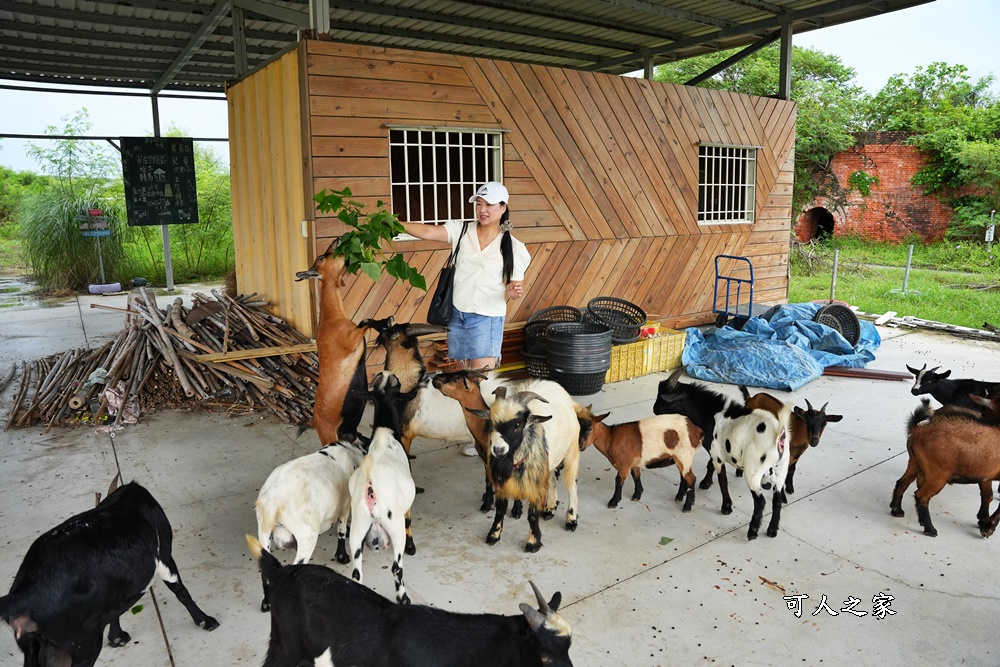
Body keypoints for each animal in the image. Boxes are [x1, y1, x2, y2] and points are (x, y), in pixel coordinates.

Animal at [0, 482, 218, 667]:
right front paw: (205, 620)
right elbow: (180, 590)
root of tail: (20, 600)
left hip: (41, 650)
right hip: (83, 646)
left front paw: (117, 637)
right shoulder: (164, 557)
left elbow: (116, 611)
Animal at [350, 376, 416, 604]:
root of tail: (371, 489)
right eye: (397, 387)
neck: (384, 434)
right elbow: (409, 519)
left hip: (357, 527)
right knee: (396, 567)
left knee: (356, 573)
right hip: (394, 526)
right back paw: (403, 597)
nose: (387, 374)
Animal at [896, 402, 1000, 536]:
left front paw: (983, 520)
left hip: (915, 463)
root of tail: (917, 430)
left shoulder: (985, 475)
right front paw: (987, 528)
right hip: (938, 474)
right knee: (921, 496)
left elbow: (988, 496)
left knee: (902, 483)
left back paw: (896, 511)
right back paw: (930, 529)